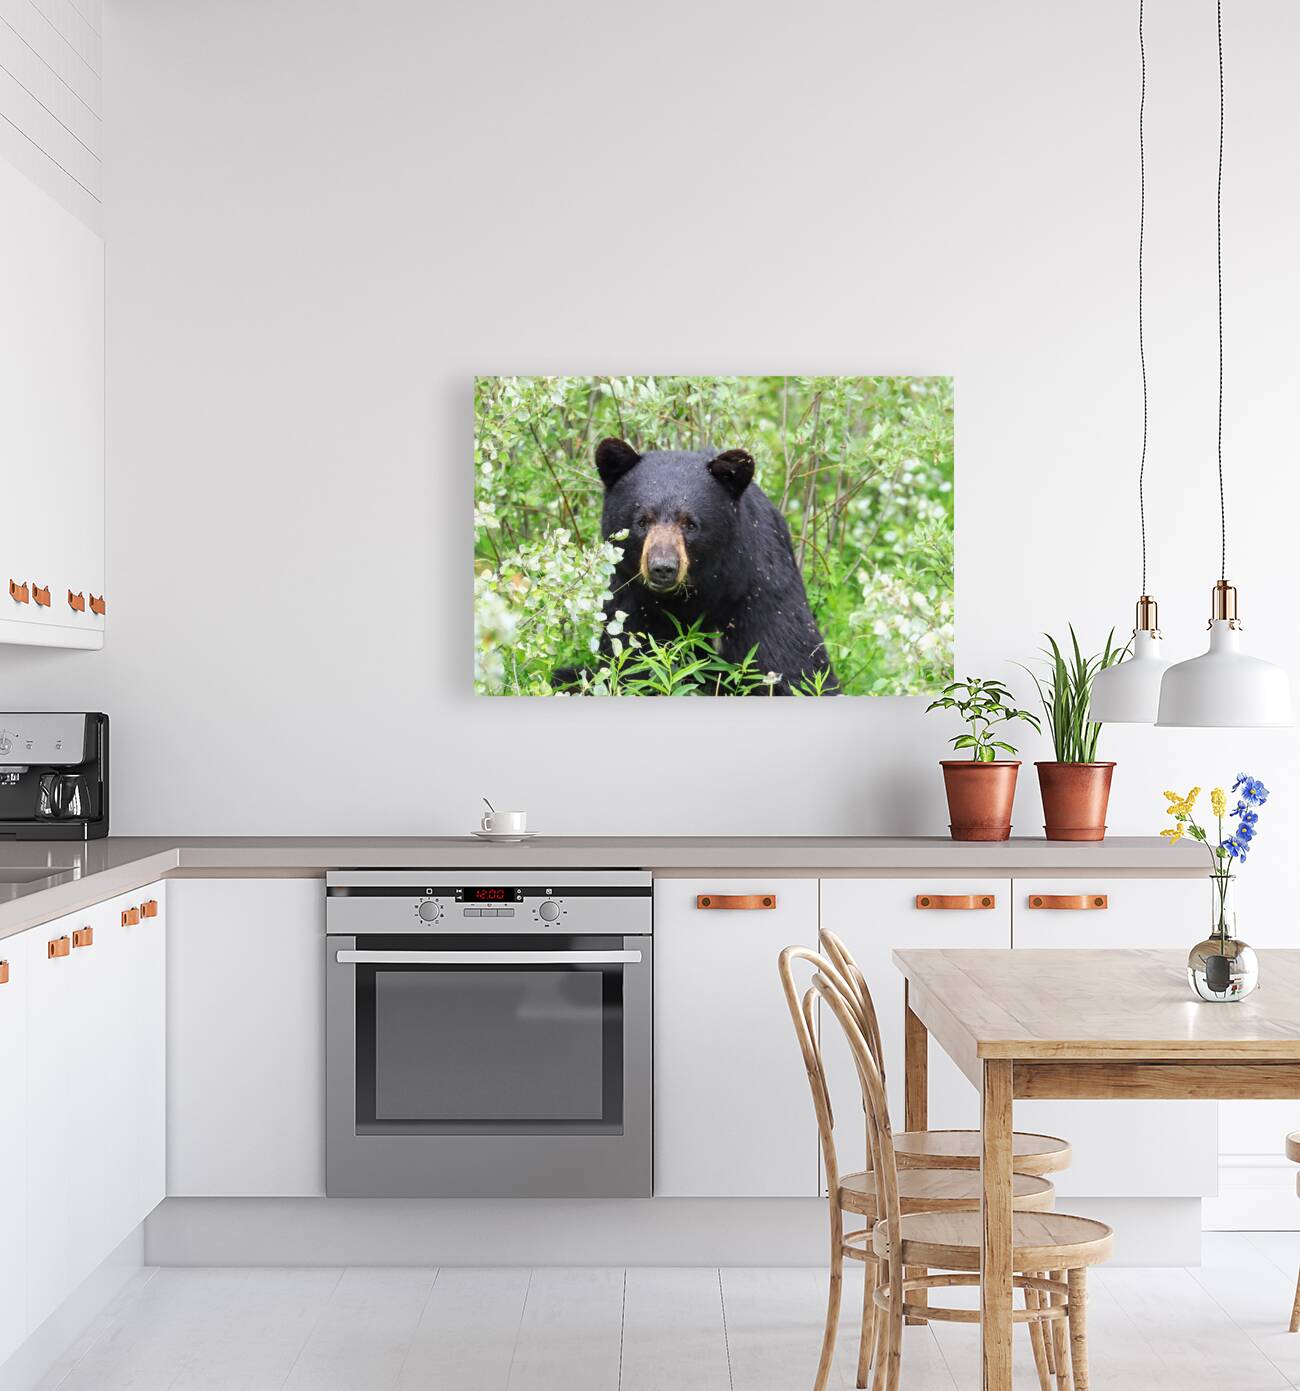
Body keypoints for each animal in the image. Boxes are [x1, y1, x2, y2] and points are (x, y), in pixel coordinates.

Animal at [585, 436, 838, 695]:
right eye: (642, 521)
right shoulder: (630, 604)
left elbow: (792, 665)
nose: (663, 567)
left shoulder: (762, 594)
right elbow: (631, 666)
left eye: (690, 524)